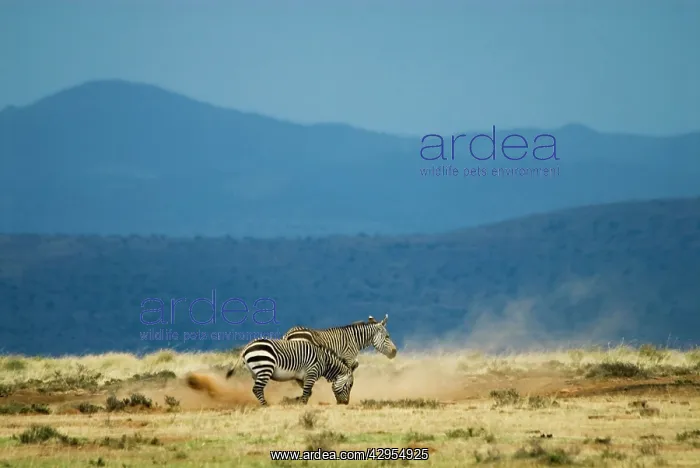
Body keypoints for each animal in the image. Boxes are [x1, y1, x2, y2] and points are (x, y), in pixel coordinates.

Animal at [225, 338, 355, 406]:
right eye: (349, 385)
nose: (345, 403)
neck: (325, 361)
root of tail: (247, 347)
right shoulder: (311, 373)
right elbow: (307, 392)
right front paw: (301, 404)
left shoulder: (301, 378)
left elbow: (308, 392)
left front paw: (295, 400)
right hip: (265, 368)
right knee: (257, 389)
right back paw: (266, 405)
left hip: (255, 372)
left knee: (256, 389)